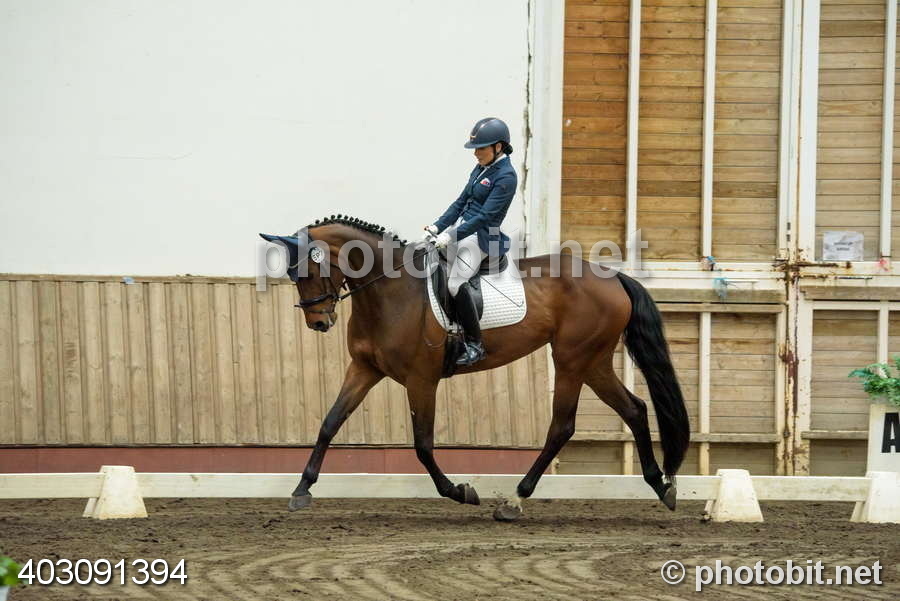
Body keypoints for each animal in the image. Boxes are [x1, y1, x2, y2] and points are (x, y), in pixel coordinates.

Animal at [260, 215, 690, 520]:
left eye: (309, 270)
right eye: (293, 274)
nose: (319, 322)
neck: (390, 291)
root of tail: (613, 278)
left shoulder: (421, 380)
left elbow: (422, 445)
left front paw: (461, 492)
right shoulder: (364, 369)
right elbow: (330, 422)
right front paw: (301, 490)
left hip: (571, 360)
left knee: (562, 427)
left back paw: (514, 502)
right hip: (594, 362)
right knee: (635, 409)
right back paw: (662, 486)